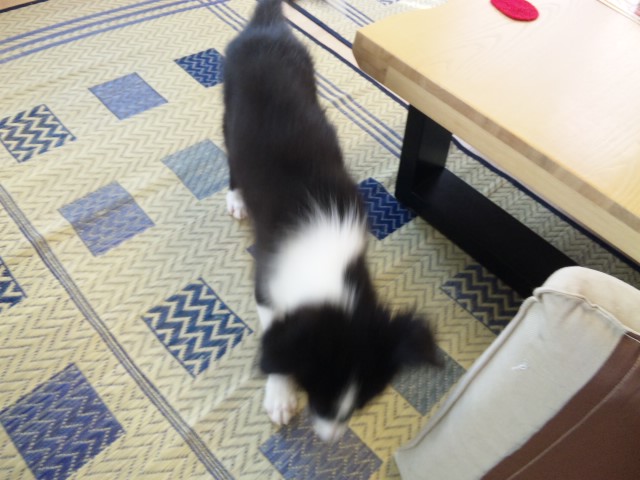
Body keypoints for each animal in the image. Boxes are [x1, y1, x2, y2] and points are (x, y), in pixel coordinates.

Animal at [222, 0, 440, 442]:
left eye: (364, 402)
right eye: (316, 390)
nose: (331, 438)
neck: (330, 263)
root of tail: (266, 27)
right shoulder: (267, 282)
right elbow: (273, 336)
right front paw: (279, 395)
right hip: (229, 102)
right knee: (231, 152)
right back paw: (236, 197)